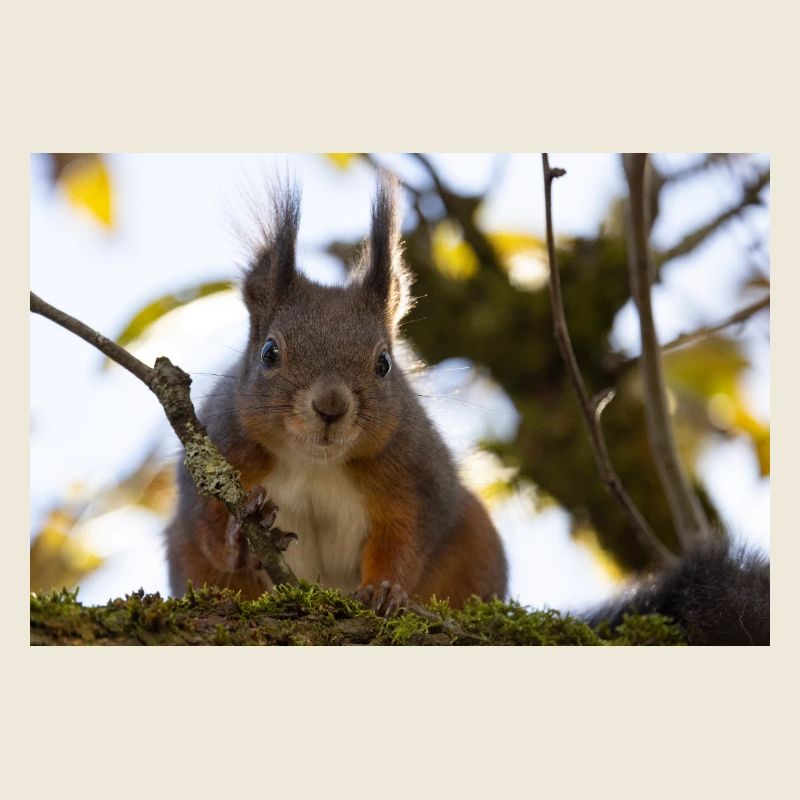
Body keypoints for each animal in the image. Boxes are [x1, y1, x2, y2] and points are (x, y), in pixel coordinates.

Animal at [165, 173, 508, 615]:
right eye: (269, 352)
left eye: (384, 363)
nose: (331, 407)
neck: (314, 461)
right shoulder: (220, 451)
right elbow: (208, 528)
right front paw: (240, 541)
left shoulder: (418, 478)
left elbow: (407, 538)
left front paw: (384, 588)